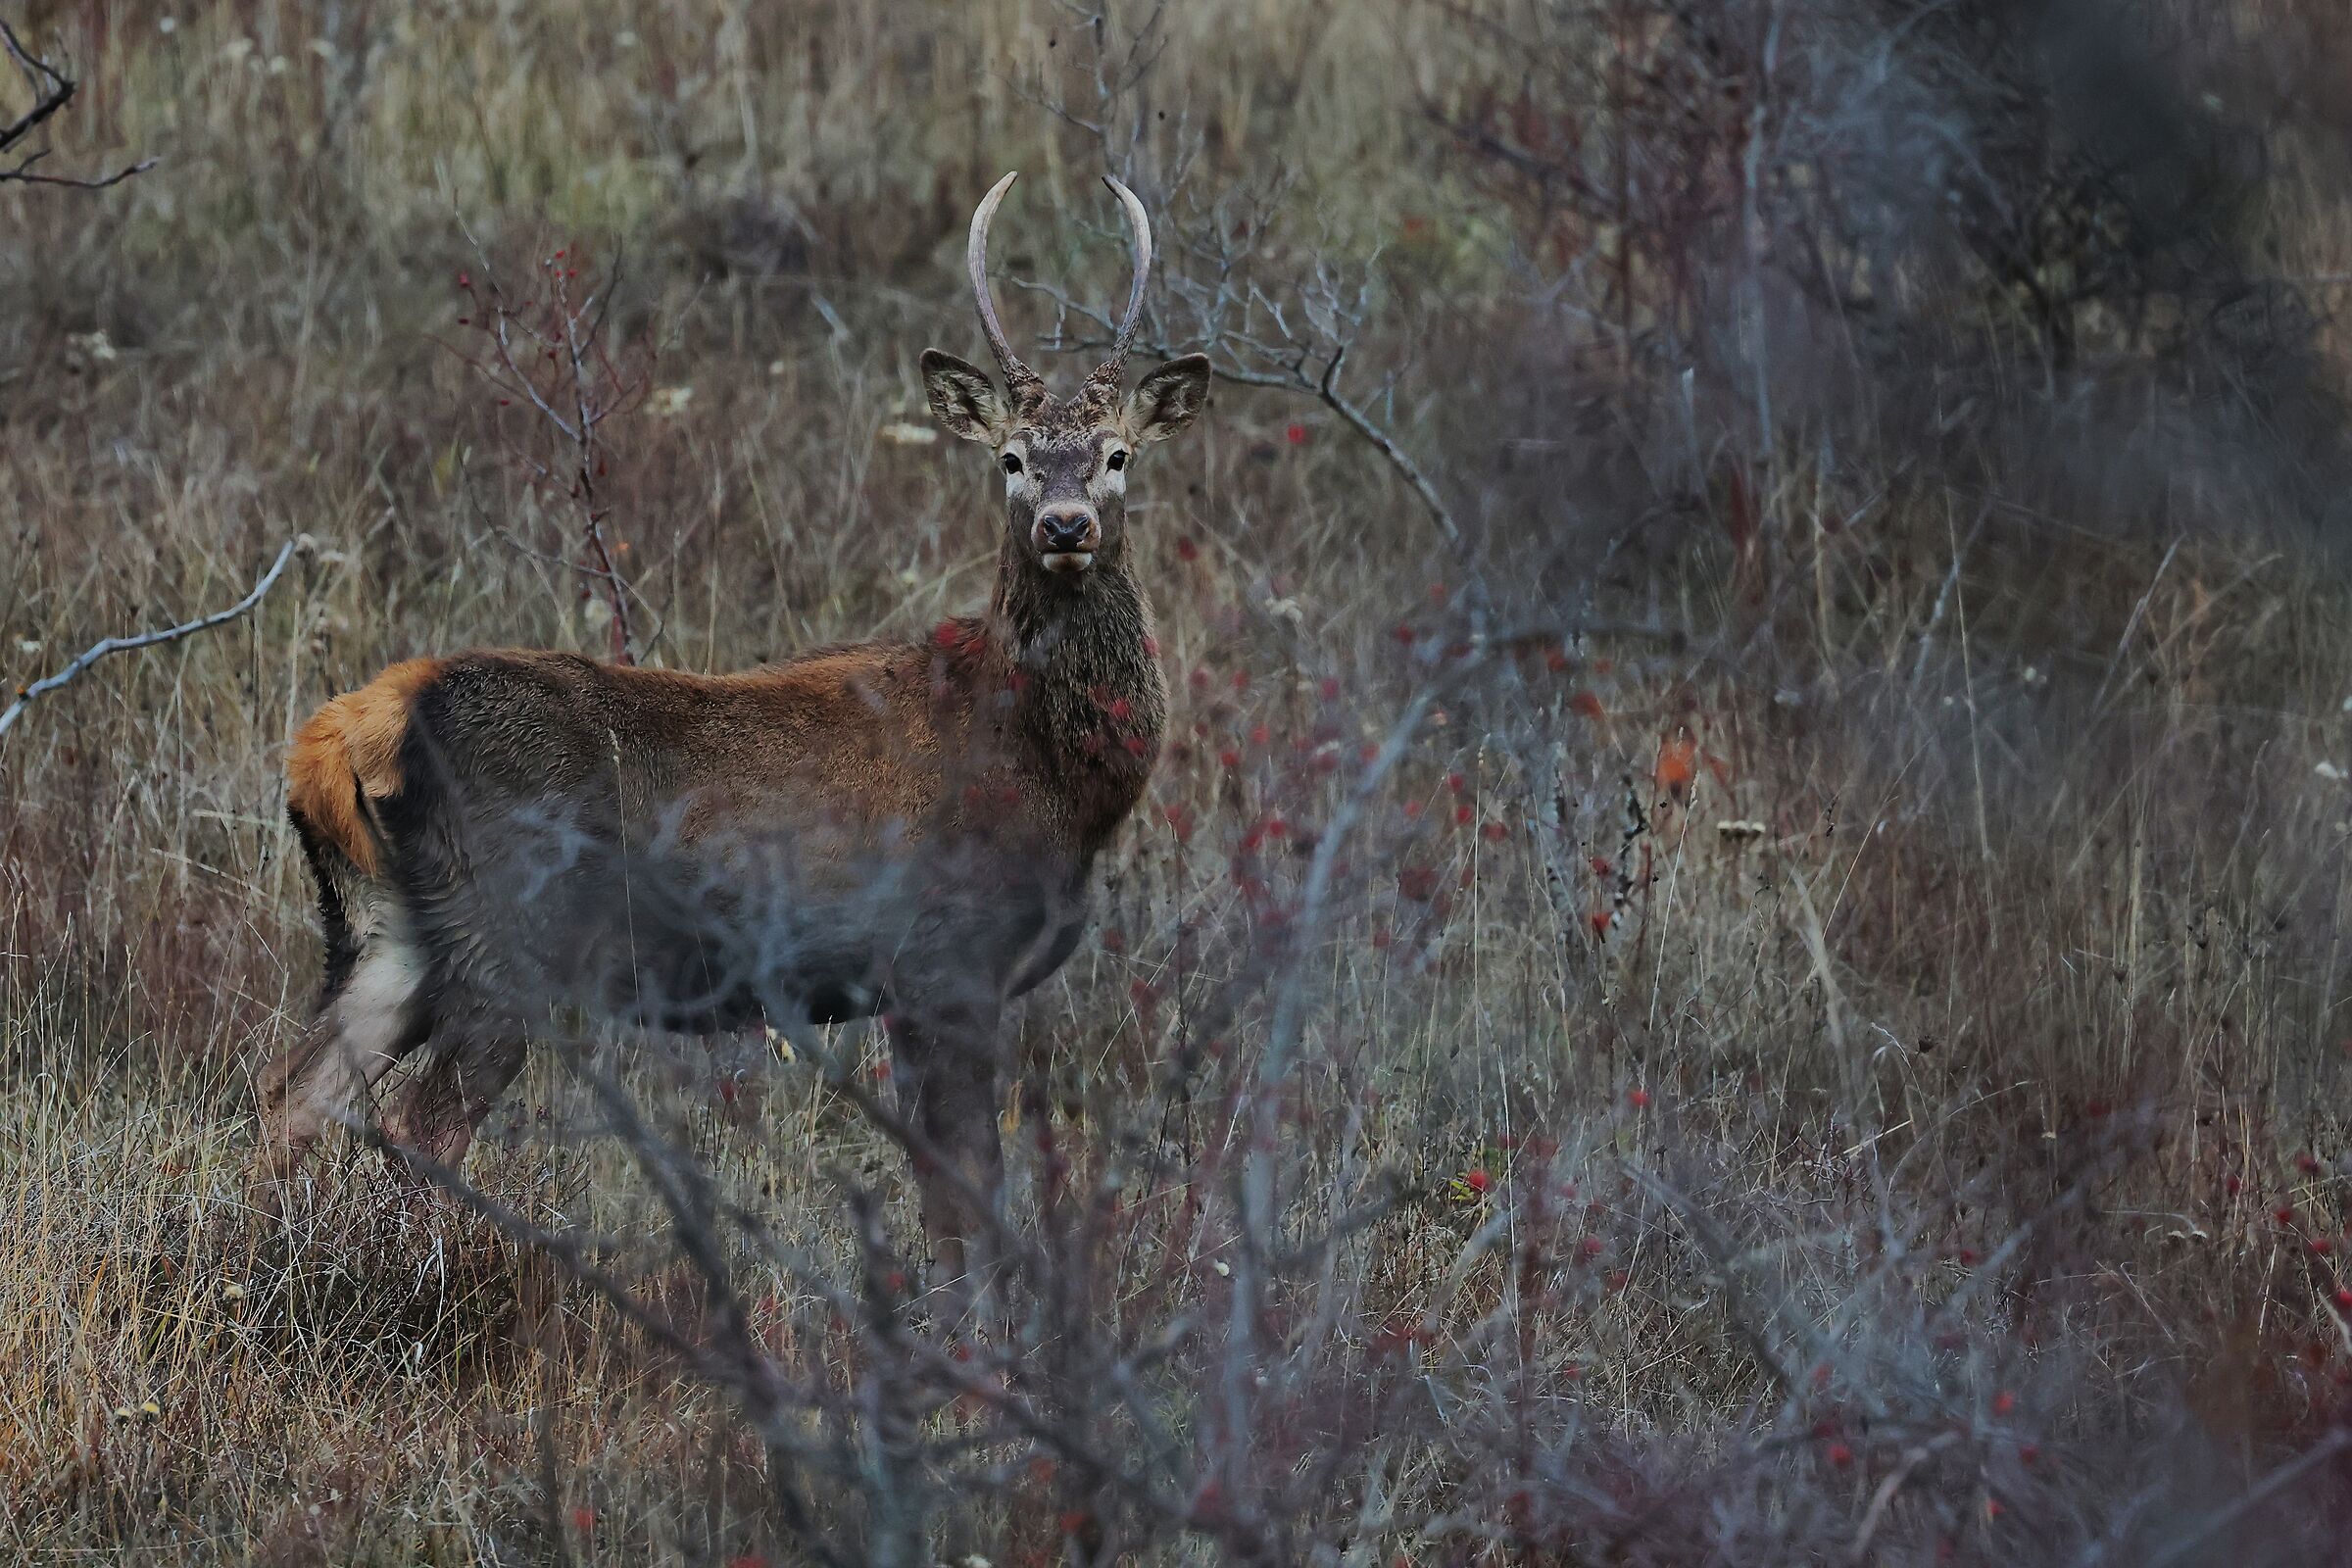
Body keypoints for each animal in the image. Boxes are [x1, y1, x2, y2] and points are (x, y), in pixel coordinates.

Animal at [246, 172, 1211, 1286]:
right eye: (1011, 458)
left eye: (1117, 454)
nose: (1065, 525)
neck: (1054, 776)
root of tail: (343, 732)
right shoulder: (944, 960)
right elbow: (967, 1196)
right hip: (509, 933)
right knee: (418, 1125)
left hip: (384, 930)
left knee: (290, 1096)